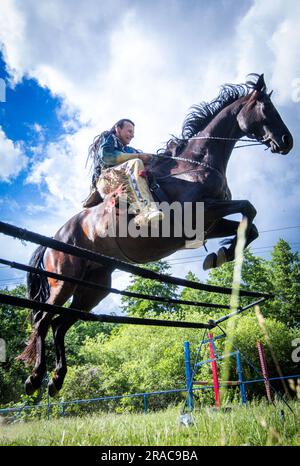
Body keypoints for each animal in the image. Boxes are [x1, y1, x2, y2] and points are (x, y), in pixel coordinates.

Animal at [18, 73, 292, 396]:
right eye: (266, 108)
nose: (287, 141)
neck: (194, 167)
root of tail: (54, 239)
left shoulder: (210, 223)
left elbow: (251, 225)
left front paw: (220, 255)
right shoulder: (202, 212)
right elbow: (249, 208)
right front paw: (221, 254)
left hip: (93, 289)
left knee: (59, 325)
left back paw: (56, 379)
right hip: (63, 282)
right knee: (42, 321)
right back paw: (35, 378)